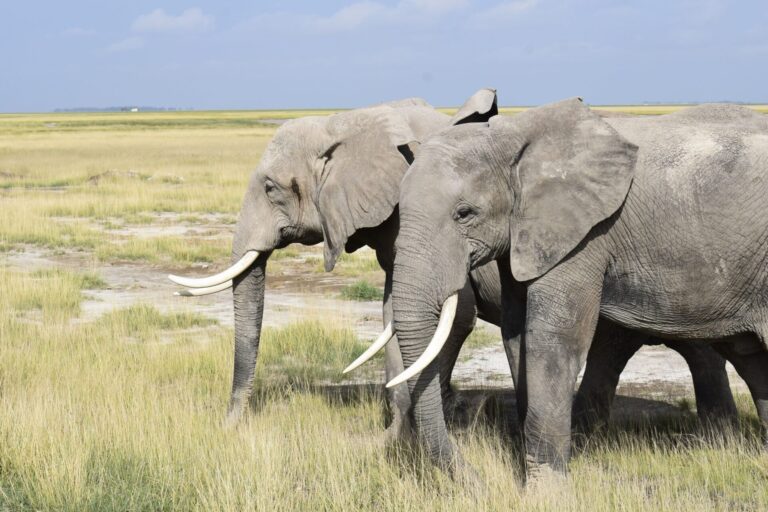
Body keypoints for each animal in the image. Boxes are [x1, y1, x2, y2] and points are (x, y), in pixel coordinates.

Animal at [167, 91, 735, 446]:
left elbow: (443, 317)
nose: (230, 427)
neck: (352, 119)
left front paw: (400, 435)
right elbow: (401, 312)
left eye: (270, 188)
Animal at [388, 98, 768, 482]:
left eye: (464, 213)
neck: (513, 137)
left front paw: (545, 486)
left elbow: (553, 338)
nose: (476, 477)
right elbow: (516, 334)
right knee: (751, 357)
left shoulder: (585, 235)